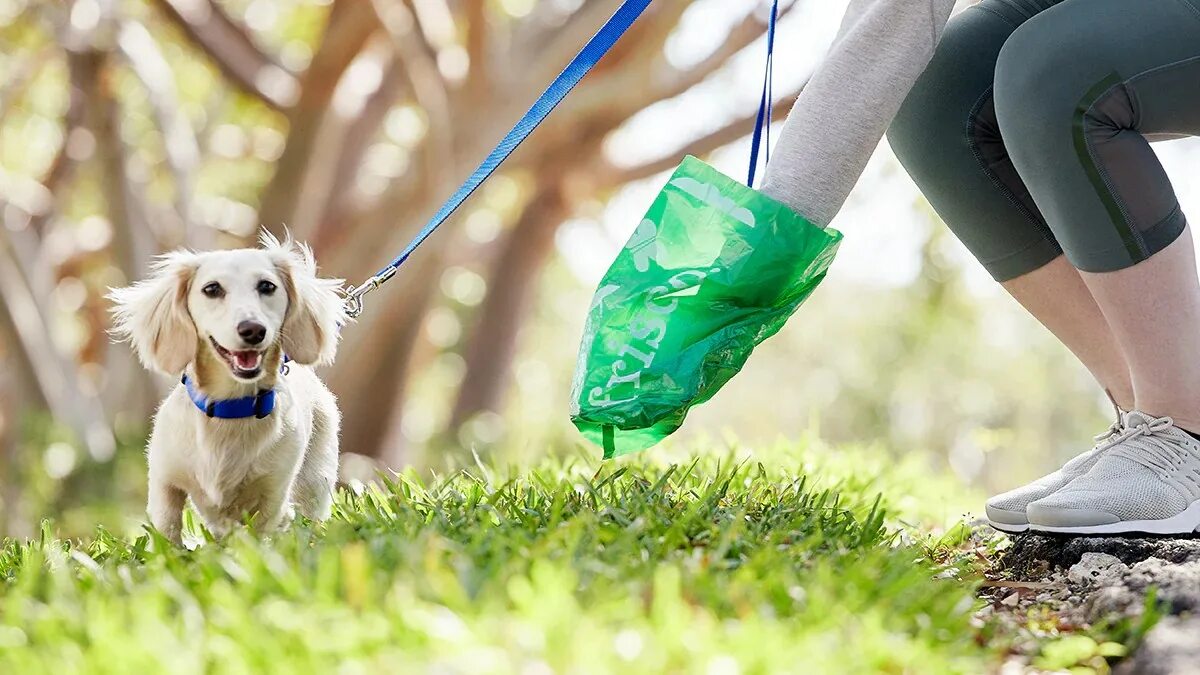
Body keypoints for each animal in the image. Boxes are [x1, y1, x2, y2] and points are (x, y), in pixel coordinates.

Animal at [111, 230, 348, 540]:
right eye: (212, 289)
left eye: (267, 286)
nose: (253, 330)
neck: (231, 408)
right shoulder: (164, 478)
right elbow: (167, 528)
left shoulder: (273, 492)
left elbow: (263, 530)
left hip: (315, 478)